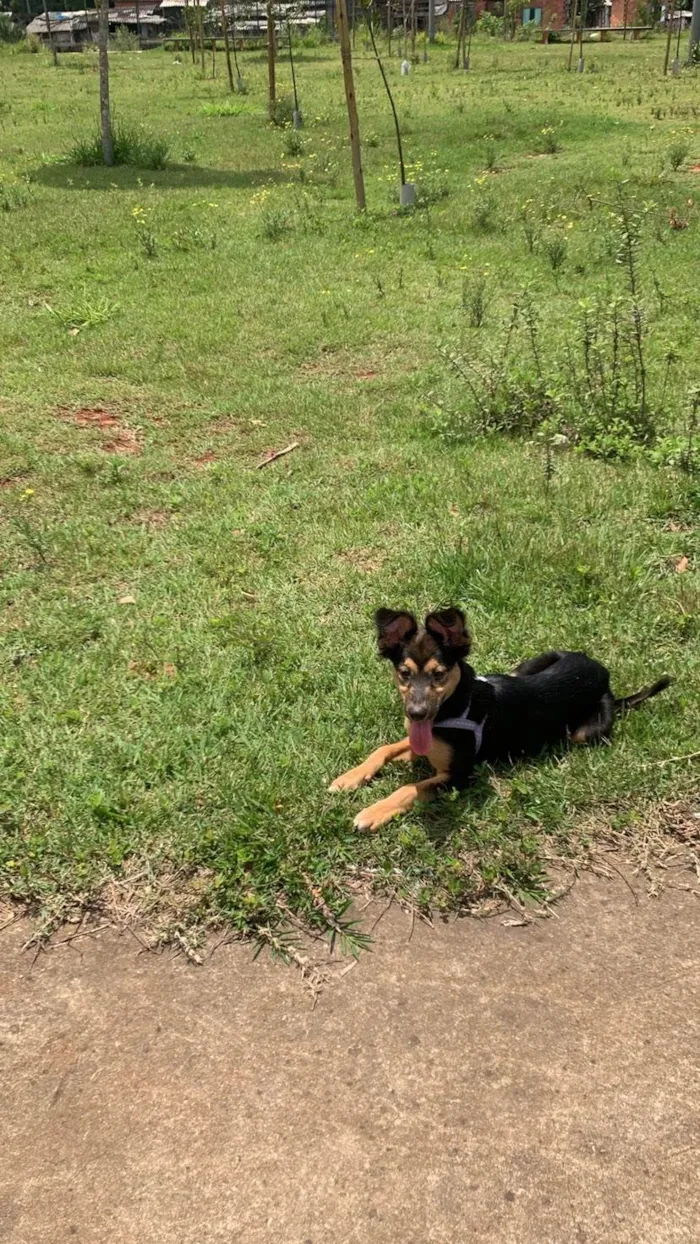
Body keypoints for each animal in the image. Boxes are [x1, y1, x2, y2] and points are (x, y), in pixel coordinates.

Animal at [330, 607, 671, 830]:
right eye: (404, 673)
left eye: (439, 674)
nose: (416, 713)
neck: (453, 707)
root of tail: (604, 676)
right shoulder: (419, 742)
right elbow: (384, 749)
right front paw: (349, 778)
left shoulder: (460, 776)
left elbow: (410, 788)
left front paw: (373, 812)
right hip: (527, 665)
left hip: (584, 732)